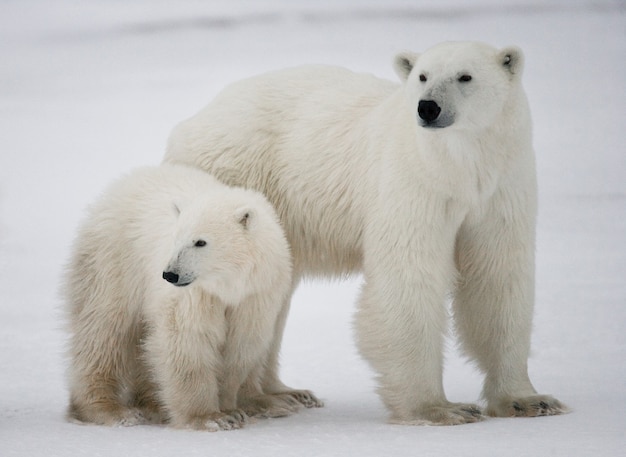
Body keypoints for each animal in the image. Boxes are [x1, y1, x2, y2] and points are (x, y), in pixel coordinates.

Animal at [64, 165, 298, 432]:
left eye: (200, 241)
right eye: (176, 238)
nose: (170, 274)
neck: (228, 285)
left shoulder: (256, 295)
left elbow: (240, 346)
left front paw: (231, 407)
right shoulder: (196, 295)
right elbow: (188, 341)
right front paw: (211, 417)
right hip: (113, 263)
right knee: (104, 331)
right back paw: (110, 410)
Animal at [166, 42, 564, 424]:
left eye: (465, 76)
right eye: (422, 75)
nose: (428, 107)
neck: (459, 168)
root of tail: (198, 116)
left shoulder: (500, 191)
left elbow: (498, 278)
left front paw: (529, 400)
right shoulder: (412, 182)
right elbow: (409, 276)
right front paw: (439, 408)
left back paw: (285, 393)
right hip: (246, 179)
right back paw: (265, 399)